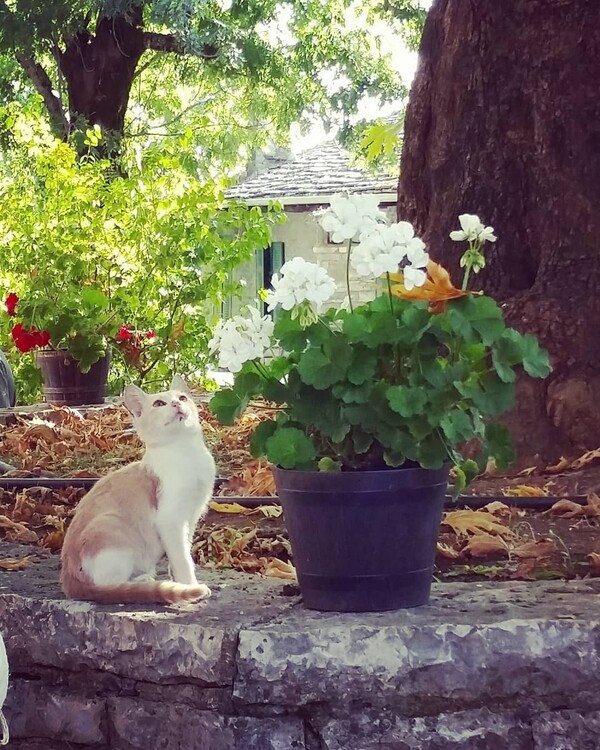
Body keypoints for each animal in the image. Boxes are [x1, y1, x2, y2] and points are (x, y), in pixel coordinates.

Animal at [60, 376, 216, 604]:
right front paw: (189, 585)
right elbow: (183, 558)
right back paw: (143, 581)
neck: (185, 451)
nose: (176, 404)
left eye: (182, 397)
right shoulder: (170, 520)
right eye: (159, 403)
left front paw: (177, 579)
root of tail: (68, 580)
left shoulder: (191, 516)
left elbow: (183, 549)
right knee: (107, 585)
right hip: (110, 525)